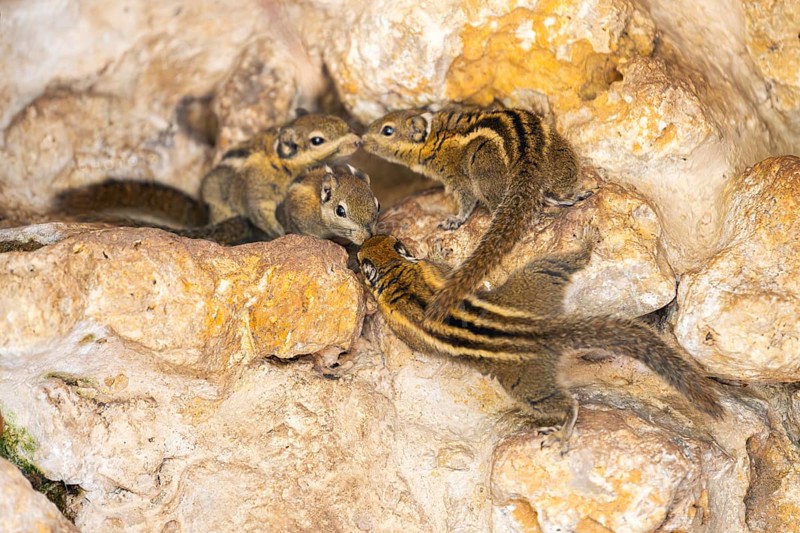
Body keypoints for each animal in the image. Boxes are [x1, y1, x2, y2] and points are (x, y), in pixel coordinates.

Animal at [56, 112, 365, 243]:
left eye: (341, 121)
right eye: (317, 140)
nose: (357, 140)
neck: (281, 162)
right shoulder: (259, 193)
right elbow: (262, 213)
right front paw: (279, 233)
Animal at [357, 234, 724, 444]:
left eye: (360, 261)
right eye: (377, 244)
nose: (363, 242)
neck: (394, 271)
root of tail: (537, 329)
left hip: (527, 385)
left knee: (565, 403)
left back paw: (563, 429)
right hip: (536, 279)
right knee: (558, 264)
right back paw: (587, 242)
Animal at [361, 107, 588, 322]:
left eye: (387, 130)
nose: (362, 140)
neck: (434, 136)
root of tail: (530, 162)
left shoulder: (457, 178)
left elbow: (466, 202)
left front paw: (454, 221)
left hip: (482, 165)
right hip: (567, 163)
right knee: (553, 193)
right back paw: (572, 197)